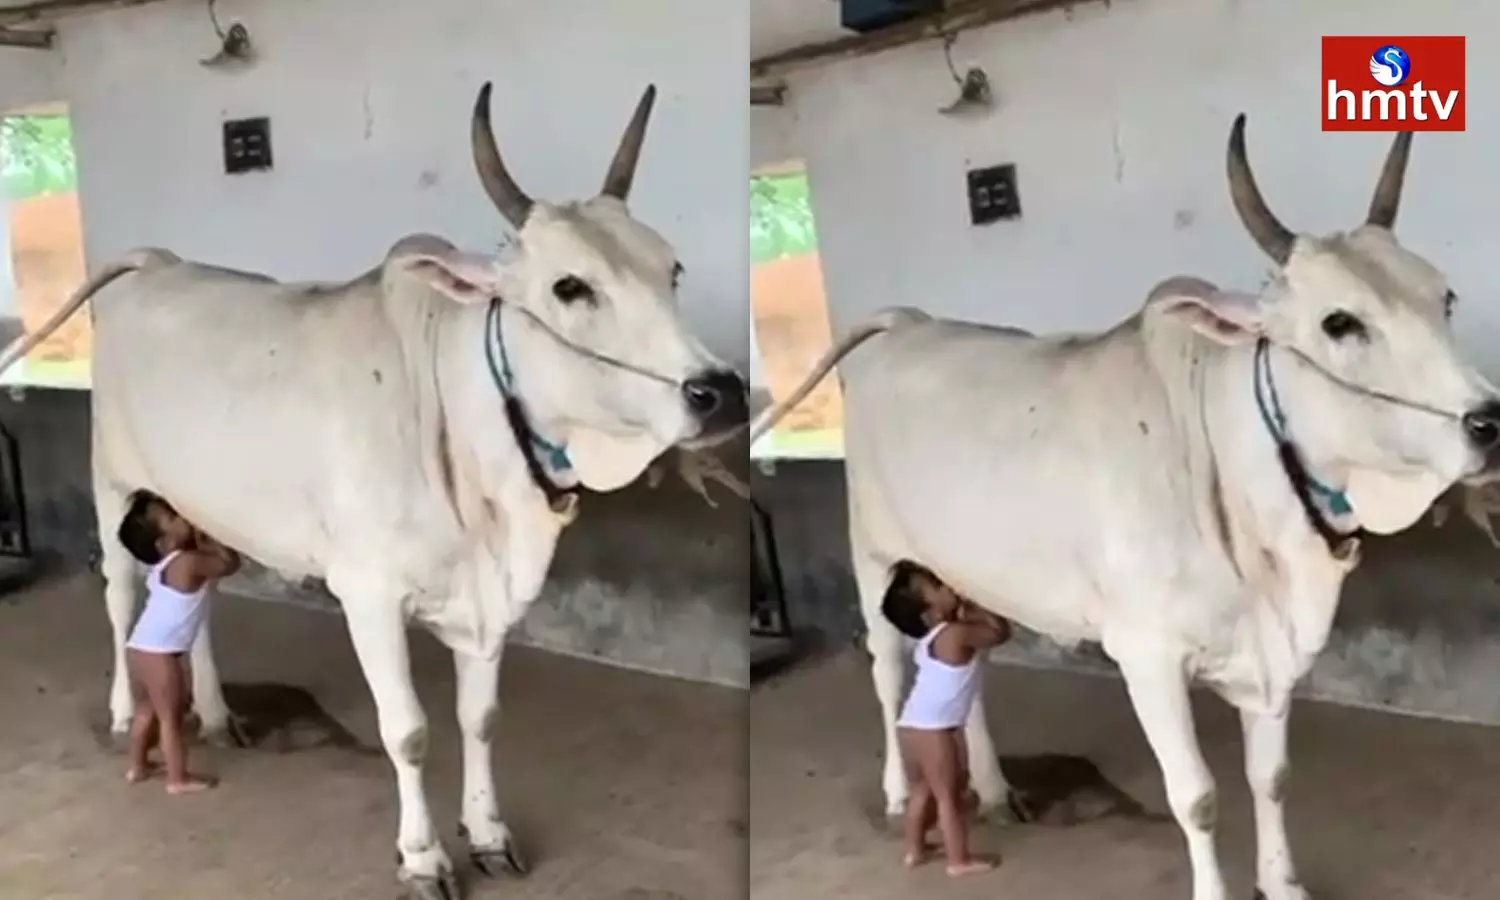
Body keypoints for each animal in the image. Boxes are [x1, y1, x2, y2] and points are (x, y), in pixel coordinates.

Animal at [0, 83, 748, 900]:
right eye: (570, 285)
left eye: (671, 271)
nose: (719, 392)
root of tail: (159, 262)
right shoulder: (368, 592)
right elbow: (409, 731)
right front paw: (422, 858)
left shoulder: (488, 603)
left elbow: (480, 718)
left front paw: (489, 833)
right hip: (114, 482)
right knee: (121, 595)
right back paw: (119, 713)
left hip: (197, 508)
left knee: (193, 604)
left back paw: (218, 713)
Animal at [748, 116, 1500, 900]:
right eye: (1339, 322)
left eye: (1444, 298)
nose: (1489, 422)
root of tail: (909, 322)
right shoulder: (1147, 654)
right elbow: (1197, 796)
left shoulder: (1270, 660)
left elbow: (1271, 778)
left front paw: (1283, 884)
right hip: (875, 552)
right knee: (888, 667)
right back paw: (899, 793)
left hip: (963, 574)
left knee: (963, 668)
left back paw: (992, 788)